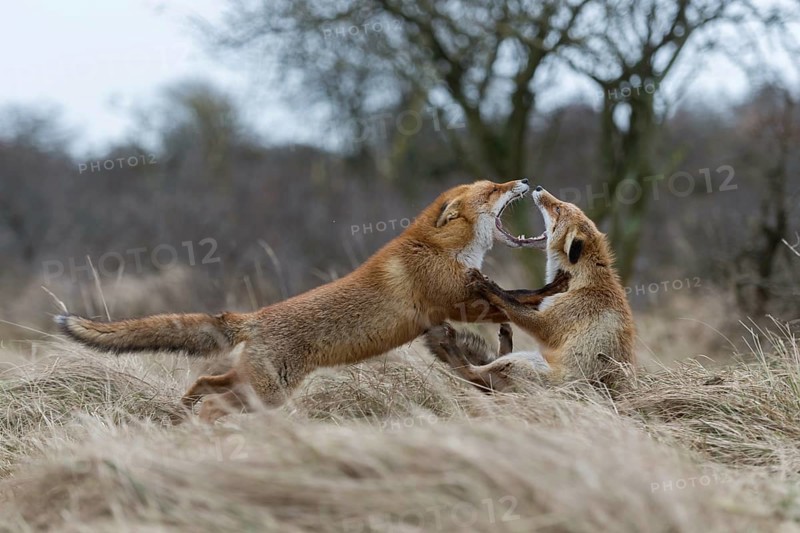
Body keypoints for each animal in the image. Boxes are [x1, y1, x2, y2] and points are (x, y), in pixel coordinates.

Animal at [57, 179, 568, 422]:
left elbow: (504, 308)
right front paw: (554, 291)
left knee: (204, 382)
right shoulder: (456, 301)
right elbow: (514, 298)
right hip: (268, 393)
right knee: (215, 401)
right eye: (494, 189)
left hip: (255, 385)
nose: (524, 180)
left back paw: (181, 415)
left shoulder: (446, 314)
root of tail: (252, 317)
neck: (440, 249)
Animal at [425, 186, 636, 392]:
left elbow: (509, 302)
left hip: (521, 362)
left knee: (472, 373)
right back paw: (504, 341)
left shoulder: (547, 324)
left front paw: (487, 285)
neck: (579, 281)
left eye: (557, 209)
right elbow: (519, 297)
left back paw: (451, 345)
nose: (539, 188)